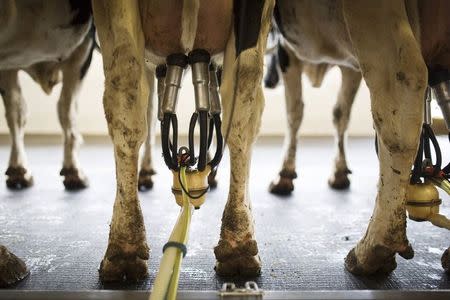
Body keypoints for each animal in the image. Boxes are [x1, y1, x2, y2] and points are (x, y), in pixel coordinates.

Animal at [274, 0, 450, 276]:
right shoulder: (350, 66)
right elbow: (339, 112)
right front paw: (339, 171)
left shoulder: (286, 51)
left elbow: (294, 112)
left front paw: (285, 174)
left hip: (372, 19)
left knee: (401, 88)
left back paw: (372, 249)